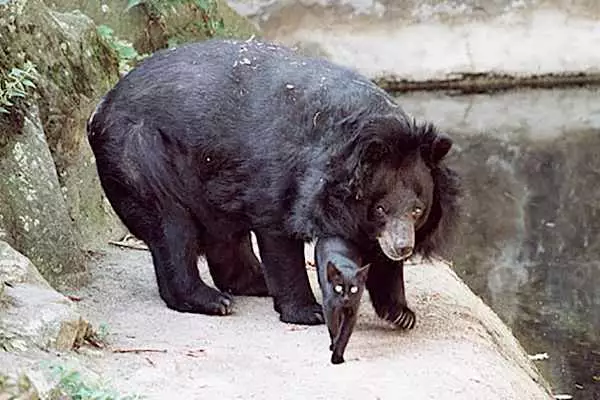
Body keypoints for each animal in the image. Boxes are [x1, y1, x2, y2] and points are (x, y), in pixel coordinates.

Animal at [86, 37, 460, 326]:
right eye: (380, 208)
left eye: (417, 210)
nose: (403, 246)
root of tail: (100, 108)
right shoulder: (287, 177)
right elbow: (279, 234)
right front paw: (309, 312)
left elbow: (377, 257)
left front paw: (402, 313)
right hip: (141, 155)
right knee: (171, 226)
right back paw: (213, 300)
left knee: (223, 233)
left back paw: (251, 282)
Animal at [314, 236, 370, 364]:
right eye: (338, 287)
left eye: (354, 289)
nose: (346, 298)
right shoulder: (329, 308)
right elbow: (334, 329)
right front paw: (334, 346)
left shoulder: (352, 311)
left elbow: (344, 334)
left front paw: (337, 356)